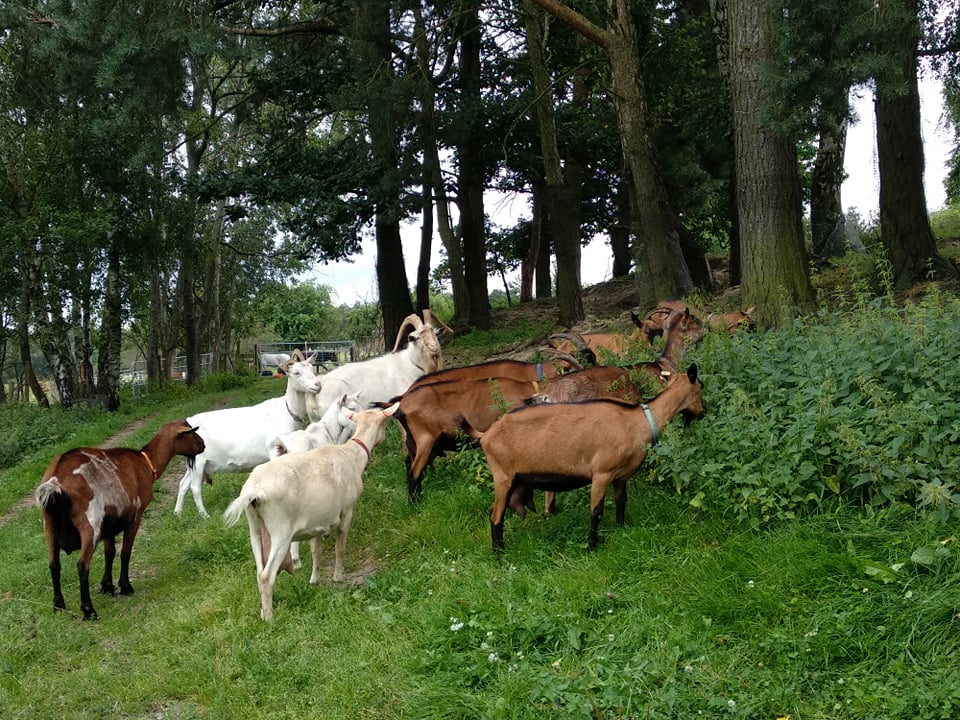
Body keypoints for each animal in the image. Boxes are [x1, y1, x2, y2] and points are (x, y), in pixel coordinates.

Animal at [35, 420, 205, 620]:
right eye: (192, 432)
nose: (203, 445)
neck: (145, 462)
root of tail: (55, 482)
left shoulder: (110, 521)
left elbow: (110, 552)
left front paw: (107, 586)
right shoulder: (136, 516)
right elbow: (125, 552)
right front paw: (125, 586)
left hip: (49, 525)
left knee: (54, 564)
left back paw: (59, 605)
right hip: (90, 524)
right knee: (82, 565)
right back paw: (89, 610)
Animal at [174, 354, 323, 518]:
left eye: (311, 369)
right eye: (296, 373)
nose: (317, 385)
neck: (287, 410)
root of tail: (189, 423)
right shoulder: (274, 449)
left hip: (193, 463)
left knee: (183, 484)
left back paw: (178, 514)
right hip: (199, 460)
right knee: (194, 487)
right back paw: (205, 515)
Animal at [223, 405, 398, 621]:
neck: (352, 455)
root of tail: (254, 492)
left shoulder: (318, 521)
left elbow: (316, 551)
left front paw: (314, 580)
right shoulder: (346, 511)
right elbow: (340, 547)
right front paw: (338, 576)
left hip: (254, 528)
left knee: (258, 571)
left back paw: (263, 612)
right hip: (280, 531)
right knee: (266, 575)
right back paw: (270, 618)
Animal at [481, 364, 705, 553]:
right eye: (700, 387)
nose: (703, 412)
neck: (638, 420)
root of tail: (486, 436)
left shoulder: (620, 476)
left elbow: (621, 501)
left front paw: (621, 529)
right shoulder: (601, 473)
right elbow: (596, 511)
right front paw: (591, 547)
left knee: (494, 510)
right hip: (503, 477)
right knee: (495, 516)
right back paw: (499, 555)